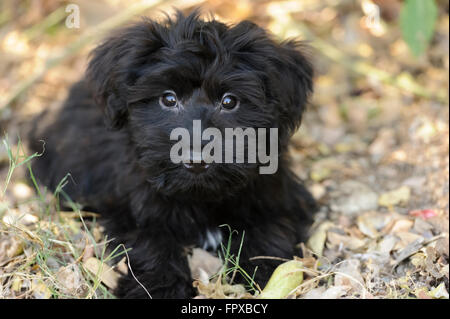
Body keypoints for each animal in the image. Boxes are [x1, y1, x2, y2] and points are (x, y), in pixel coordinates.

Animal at [29, 10, 316, 300]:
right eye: (168, 99)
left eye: (229, 101)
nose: (196, 160)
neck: (200, 196)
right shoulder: (128, 207)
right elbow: (149, 243)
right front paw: (160, 288)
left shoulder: (278, 196)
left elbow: (270, 230)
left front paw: (264, 275)